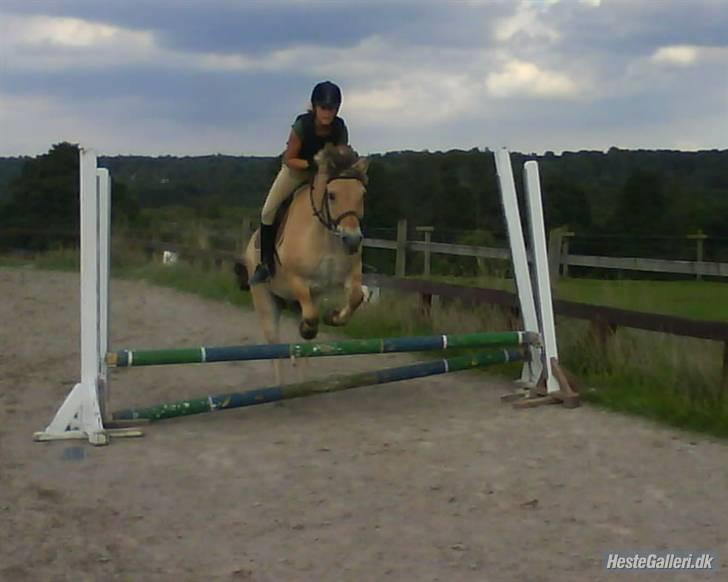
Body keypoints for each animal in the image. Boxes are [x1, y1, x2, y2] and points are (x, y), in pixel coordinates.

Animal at [235, 143, 370, 384]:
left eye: (362, 194)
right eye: (332, 195)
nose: (353, 240)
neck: (326, 235)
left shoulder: (350, 275)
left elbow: (355, 297)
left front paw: (333, 317)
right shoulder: (297, 280)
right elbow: (311, 318)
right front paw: (310, 327)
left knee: (303, 348)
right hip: (265, 299)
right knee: (275, 347)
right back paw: (280, 385)